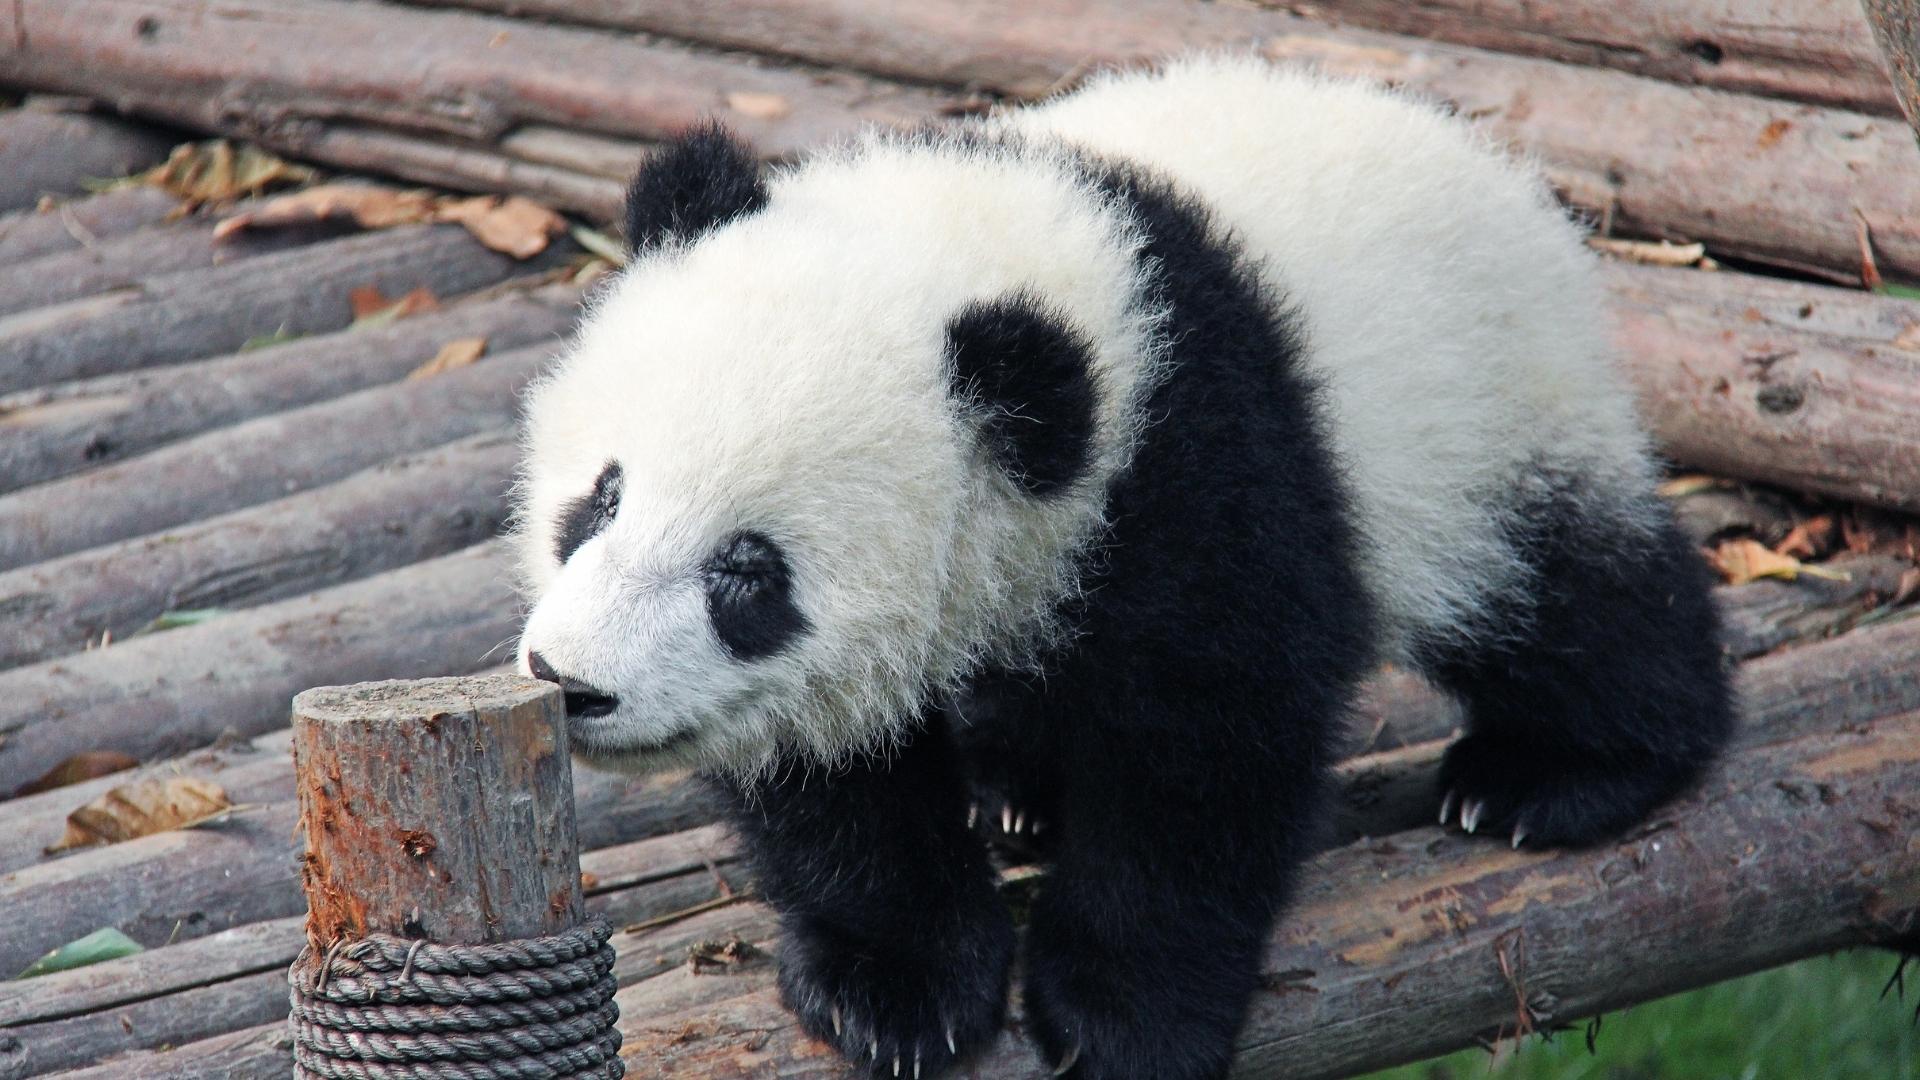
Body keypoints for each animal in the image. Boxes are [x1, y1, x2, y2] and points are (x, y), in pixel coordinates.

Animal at [513, 56, 1733, 1080]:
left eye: (748, 574)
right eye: (604, 496)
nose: (572, 682)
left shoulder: (1198, 463)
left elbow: (1204, 748)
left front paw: (1122, 1015)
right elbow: (837, 777)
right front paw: (896, 988)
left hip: (1488, 407)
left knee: (1563, 591)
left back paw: (1551, 774)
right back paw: (1019, 791)